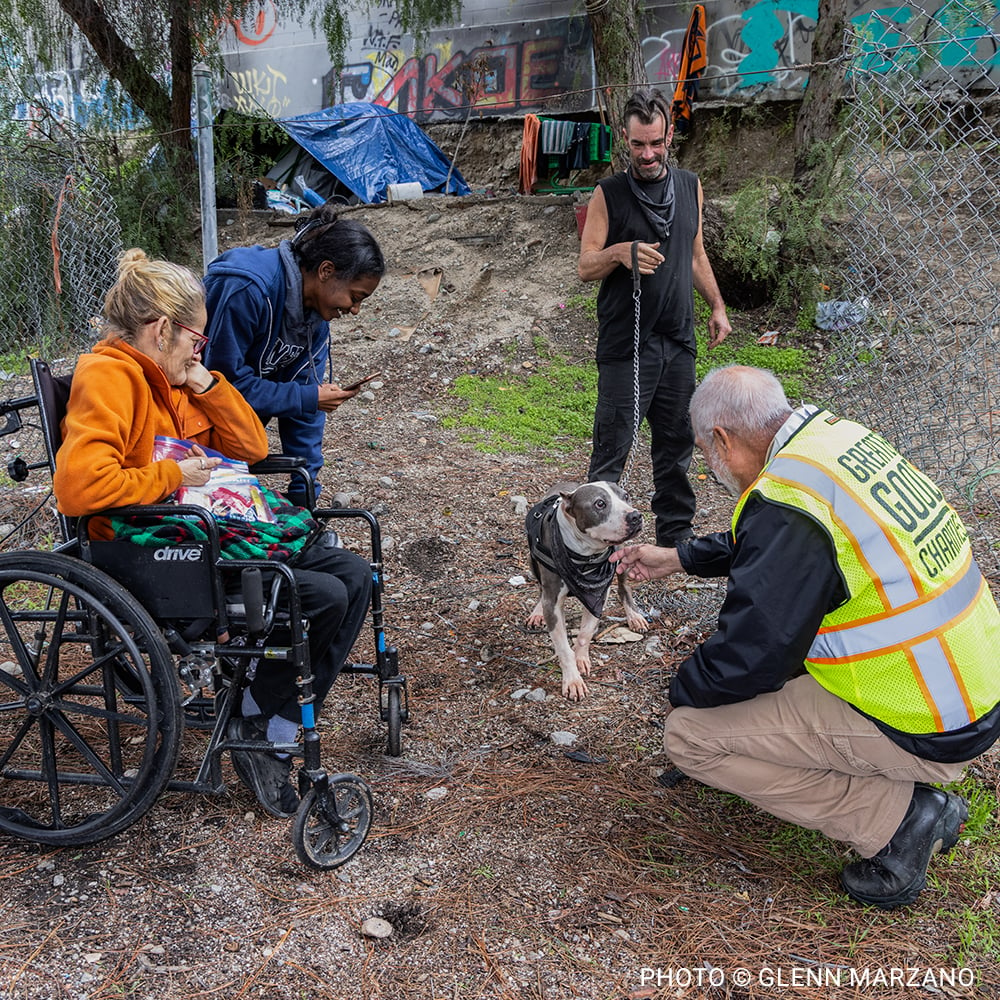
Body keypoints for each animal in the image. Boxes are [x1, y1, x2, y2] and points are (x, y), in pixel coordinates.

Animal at [524, 480, 648, 700]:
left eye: (626, 496)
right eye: (600, 503)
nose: (635, 515)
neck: (585, 555)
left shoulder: (599, 595)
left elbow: (585, 633)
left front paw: (580, 659)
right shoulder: (553, 603)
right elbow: (563, 647)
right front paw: (572, 680)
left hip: (623, 555)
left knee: (624, 587)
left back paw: (634, 616)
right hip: (533, 561)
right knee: (540, 589)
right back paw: (537, 612)